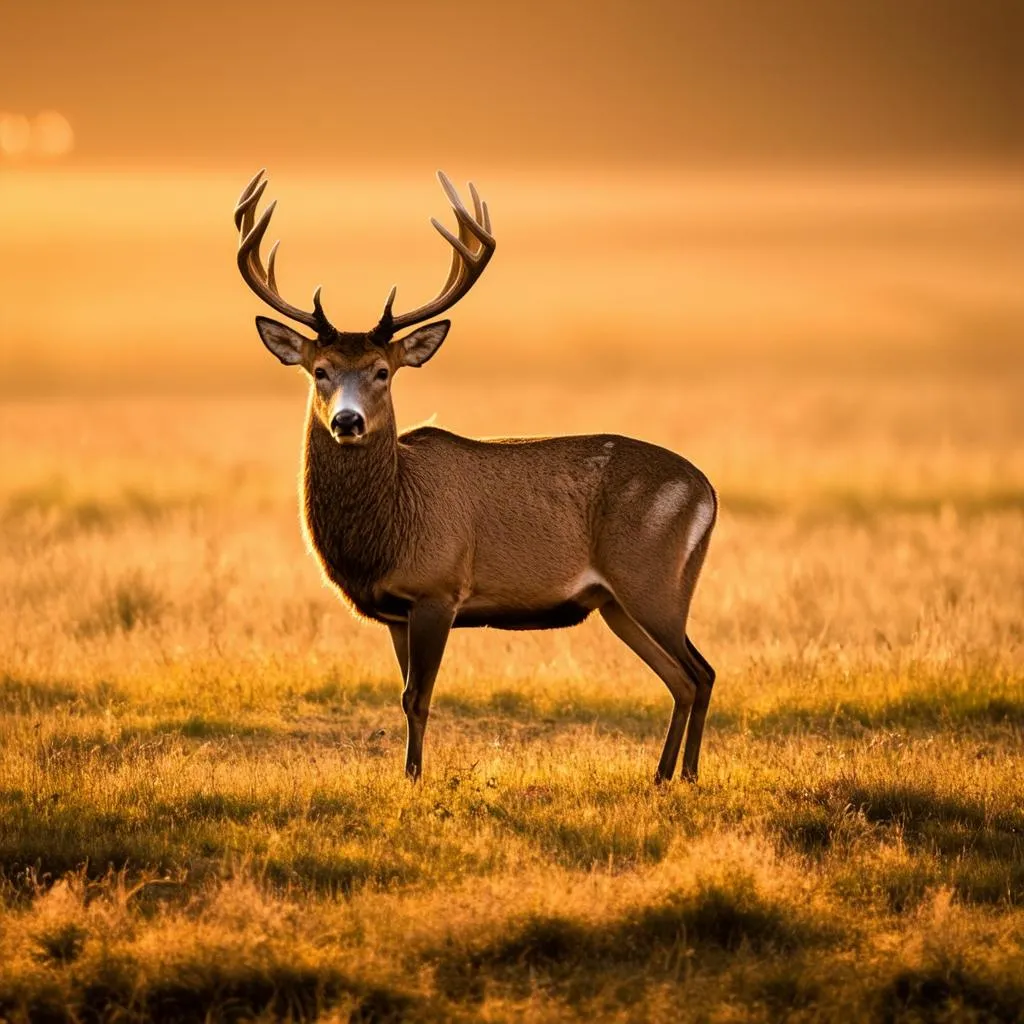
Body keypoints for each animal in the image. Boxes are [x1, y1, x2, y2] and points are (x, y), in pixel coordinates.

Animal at [233, 169, 716, 782]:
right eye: (319, 370)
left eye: (383, 371)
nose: (347, 420)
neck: (389, 528)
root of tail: (707, 490)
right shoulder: (396, 613)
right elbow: (404, 695)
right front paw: (409, 774)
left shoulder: (438, 587)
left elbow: (418, 697)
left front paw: (413, 777)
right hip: (617, 603)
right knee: (682, 677)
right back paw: (663, 776)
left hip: (652, 580)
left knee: (700, 671)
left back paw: (688, 774)